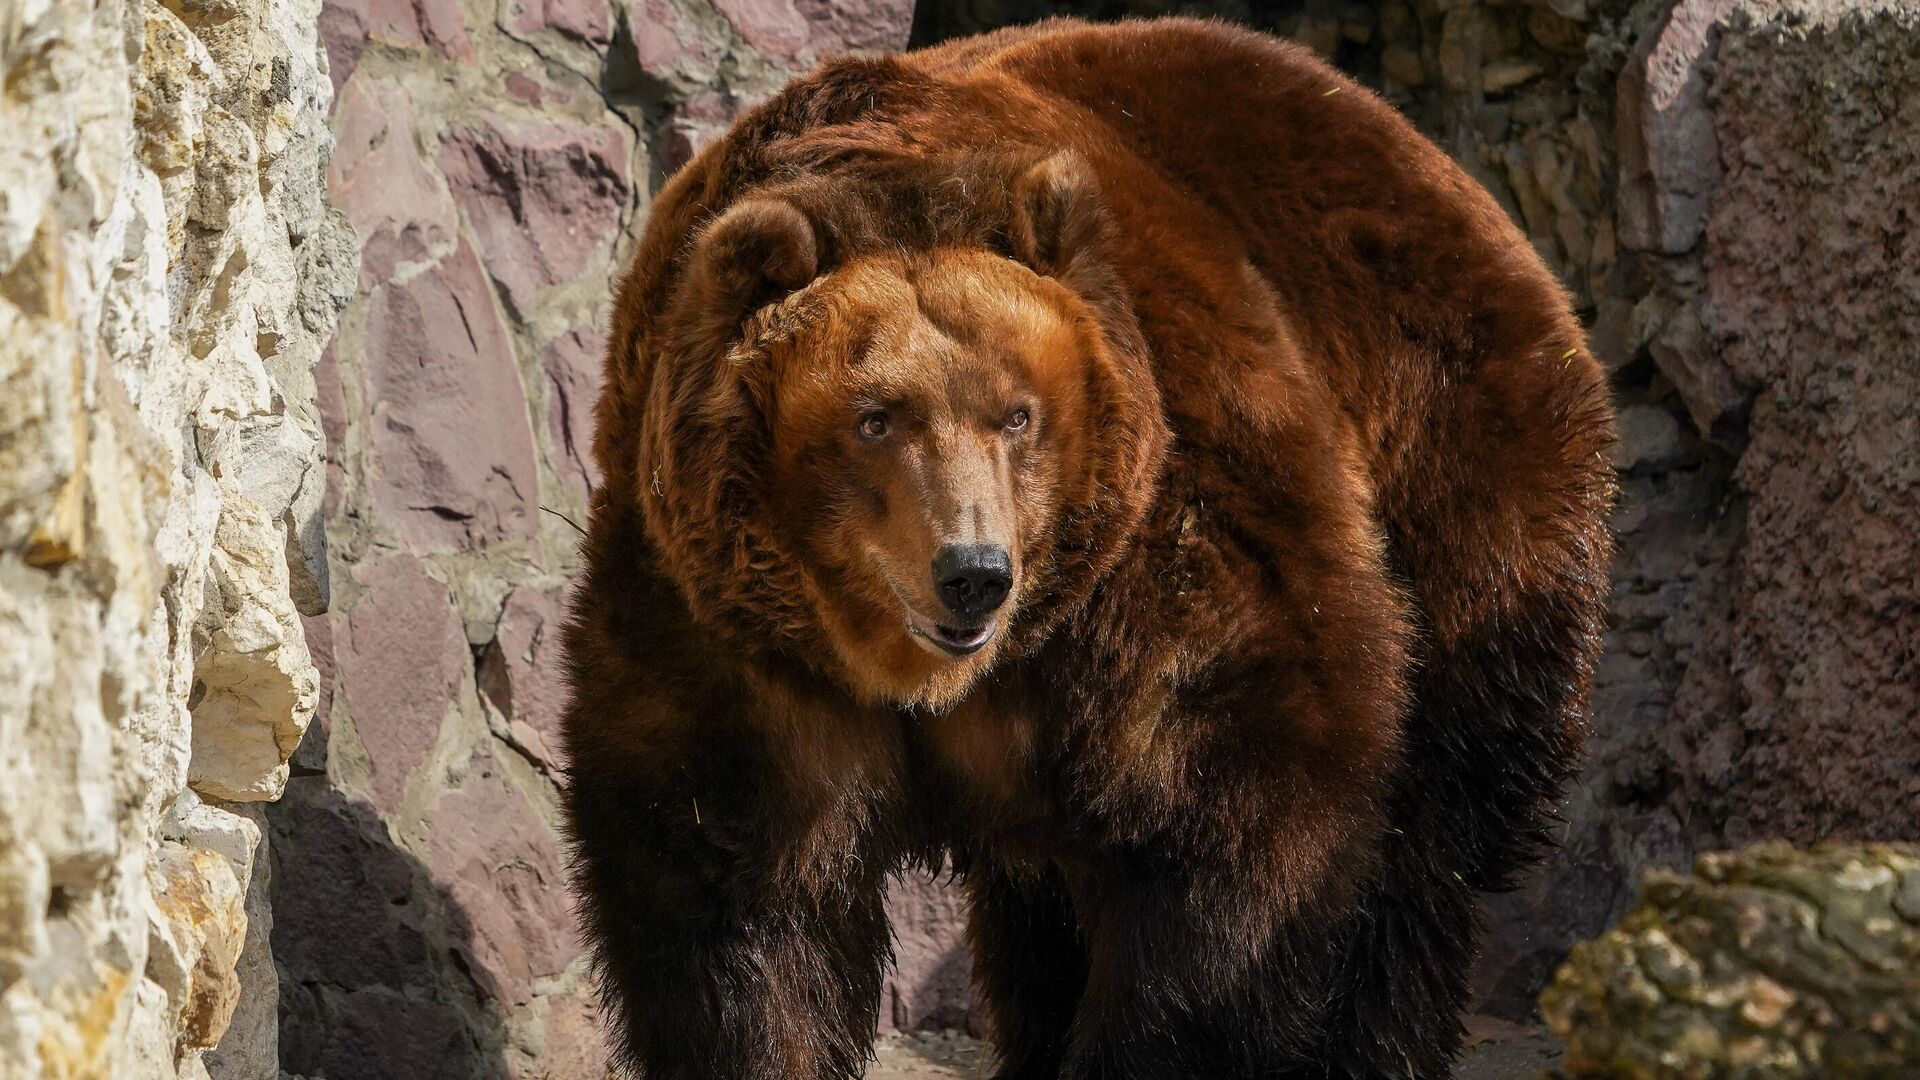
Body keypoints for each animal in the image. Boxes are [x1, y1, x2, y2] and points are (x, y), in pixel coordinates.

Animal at [560, 16, 1612, 1076]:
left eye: (1017, 415)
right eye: (875, 418)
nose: (974, 575)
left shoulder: (1158, 551)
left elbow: (1227, 827)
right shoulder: (731, 626)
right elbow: (733, 893)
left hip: (1458, 480)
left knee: (1424, 843)